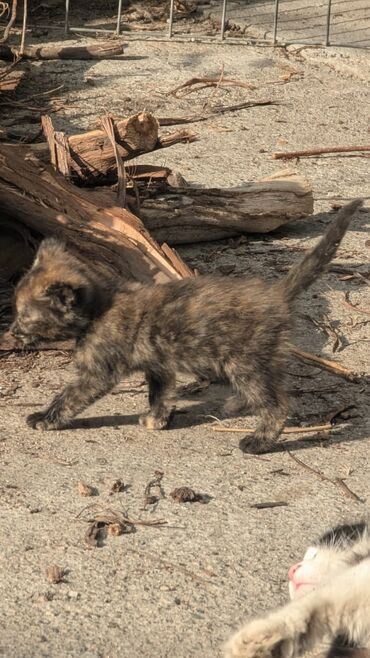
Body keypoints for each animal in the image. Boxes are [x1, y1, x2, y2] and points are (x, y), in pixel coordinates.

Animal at [10, 197, 362, 452]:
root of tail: (276, 292)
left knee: (276, 404)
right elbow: (160, 393)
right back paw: (236, 404)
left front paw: (46, 417)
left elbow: (70, 396)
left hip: (245, 362)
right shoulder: (159, 365)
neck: (101, 307)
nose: (12, 331)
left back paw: (258, 441)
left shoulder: (98, 372)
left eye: (25, 315)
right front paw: (157, 419)